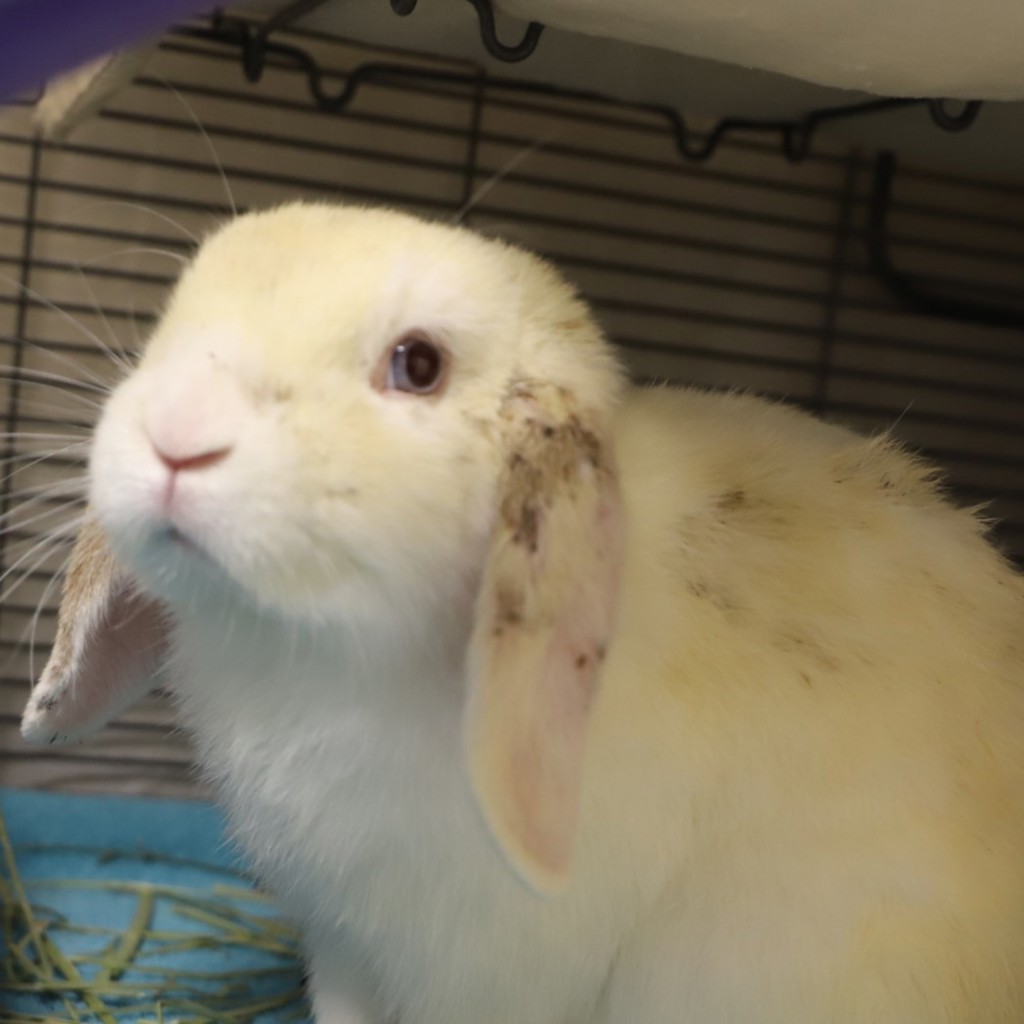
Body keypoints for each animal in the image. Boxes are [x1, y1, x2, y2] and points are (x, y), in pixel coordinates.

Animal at [20, 200, 1024, 1024]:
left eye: (418, 365)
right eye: (174, 312)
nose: (176, 435)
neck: (322, 659)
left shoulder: (487, 973)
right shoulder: (345, 946)